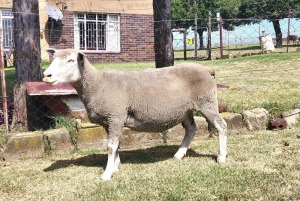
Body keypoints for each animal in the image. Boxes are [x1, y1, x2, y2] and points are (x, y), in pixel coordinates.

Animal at [43, 48, 227, 181]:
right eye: (53, 59)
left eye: (70, 60)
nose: (46, 75)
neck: (97, 83)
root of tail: (207, 70)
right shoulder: (109, 121)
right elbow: (115, 145)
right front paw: (116, 166)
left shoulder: (115, 116)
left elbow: (110, 146)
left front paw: (107, 174)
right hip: (185, 110)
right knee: (191, 128)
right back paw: (179, 155)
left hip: (207, 102)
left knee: (221, 125)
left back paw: (222, 157)